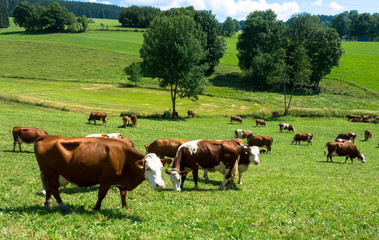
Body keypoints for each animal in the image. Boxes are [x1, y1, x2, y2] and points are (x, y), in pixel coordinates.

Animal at [35, 136, 172, 211]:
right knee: (54, 189)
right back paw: (63, 206)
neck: (124, 157)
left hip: (49, 174)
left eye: (160, 168)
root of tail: (47, 137)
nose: (160, 185)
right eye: (147, 168)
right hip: (51, 172)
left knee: (48, 188)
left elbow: (123, 194)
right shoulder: (106, 180)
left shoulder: (122, 181)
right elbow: (101, 195)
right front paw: (96, 208)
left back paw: (48, 203)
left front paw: (125, 207)